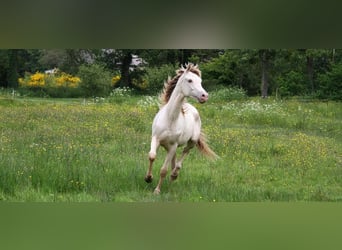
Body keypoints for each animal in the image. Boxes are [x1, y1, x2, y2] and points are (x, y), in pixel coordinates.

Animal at [144, 63, 216, 195]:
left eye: (200, 81)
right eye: (190, 80)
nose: (204, 96)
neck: (170, 118)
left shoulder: (173, 145)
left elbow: (163, 170)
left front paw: (157, 190)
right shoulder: (156, 138)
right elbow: (152, 156)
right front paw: (148, 178)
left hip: (191, 142)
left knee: (183, 155)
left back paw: (174, 175)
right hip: (169, 146)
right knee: (174, 160)